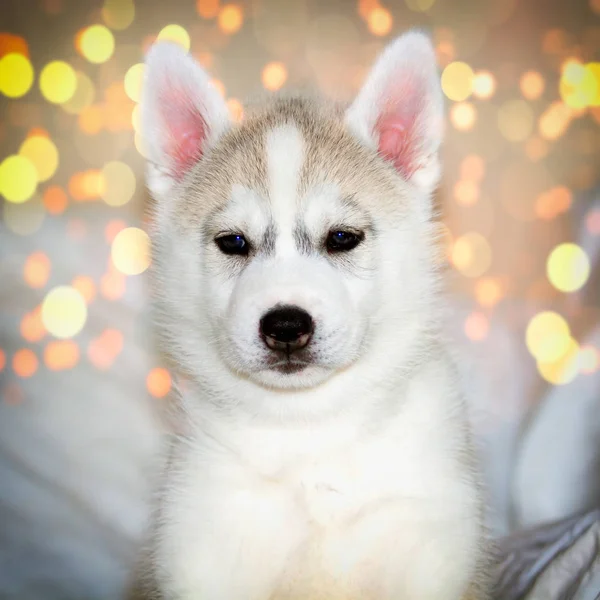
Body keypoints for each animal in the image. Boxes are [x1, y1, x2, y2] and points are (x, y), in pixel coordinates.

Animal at [130, 30, 488, 600]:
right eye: (233, 242)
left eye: (341, 237)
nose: (285, 326)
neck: (309, 432)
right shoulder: (205, 540)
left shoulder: (425, 537)